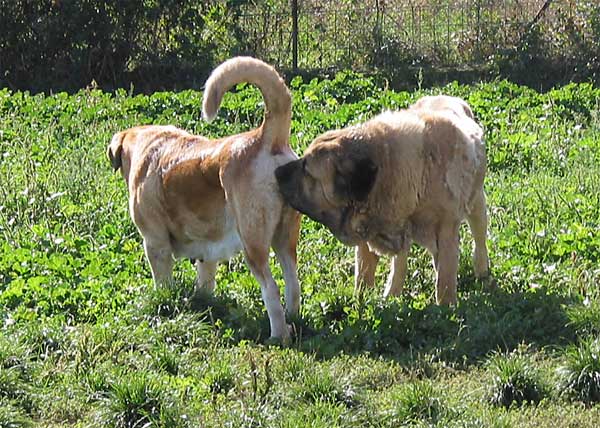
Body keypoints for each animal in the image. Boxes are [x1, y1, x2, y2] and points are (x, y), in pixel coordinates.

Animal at [107, 56, 300, 340]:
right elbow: (205, 282)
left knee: (271, 289)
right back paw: (293, 321)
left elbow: (162, 282)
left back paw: (278, 336)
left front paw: (165, 300)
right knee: (292, 283)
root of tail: (265, 137)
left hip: (253, 244)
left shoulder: (155, 243)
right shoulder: (207, 250)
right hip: (285, 239)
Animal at [276, 96, 488, 304]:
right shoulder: (366, 232)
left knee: (479, 239)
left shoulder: (446, 231)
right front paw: (362, 303)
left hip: (477, 203)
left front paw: (445, 308)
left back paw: (483, 273)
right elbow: (363, 275)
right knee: (400, 262)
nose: (277, 171)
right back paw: (392, 294)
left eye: (307, 169)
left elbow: (445, 279)